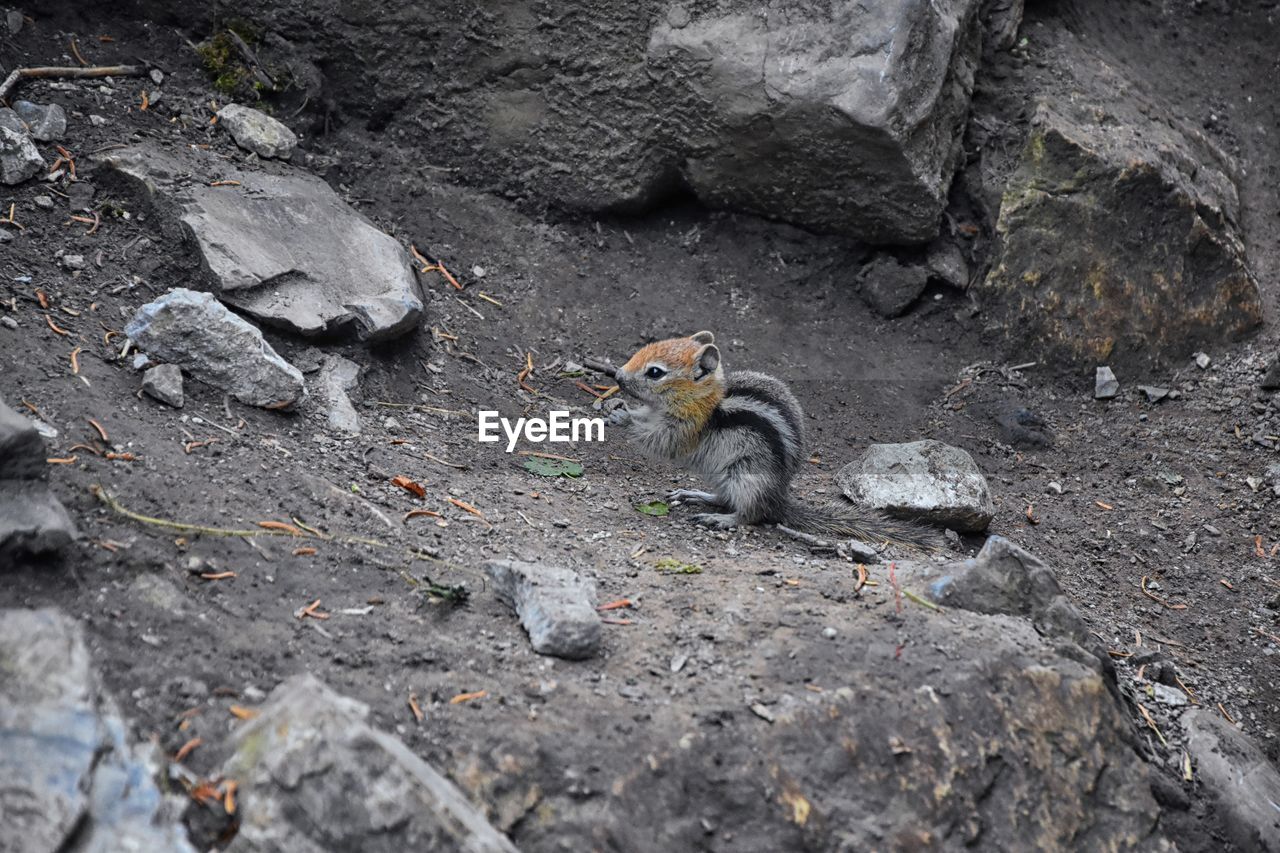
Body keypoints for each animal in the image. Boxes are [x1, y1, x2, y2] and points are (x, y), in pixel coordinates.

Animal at [604, 327, 947, 548]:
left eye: (655, 373)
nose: (617, 376)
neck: (704, 400)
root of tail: (778, 499)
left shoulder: (687, 427)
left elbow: (663, 441)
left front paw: (623, 417)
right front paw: (614, 406)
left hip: (746, 476)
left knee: (751, 513)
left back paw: (723, 520)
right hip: (724, 476)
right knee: (725, 498)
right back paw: (697, 495)